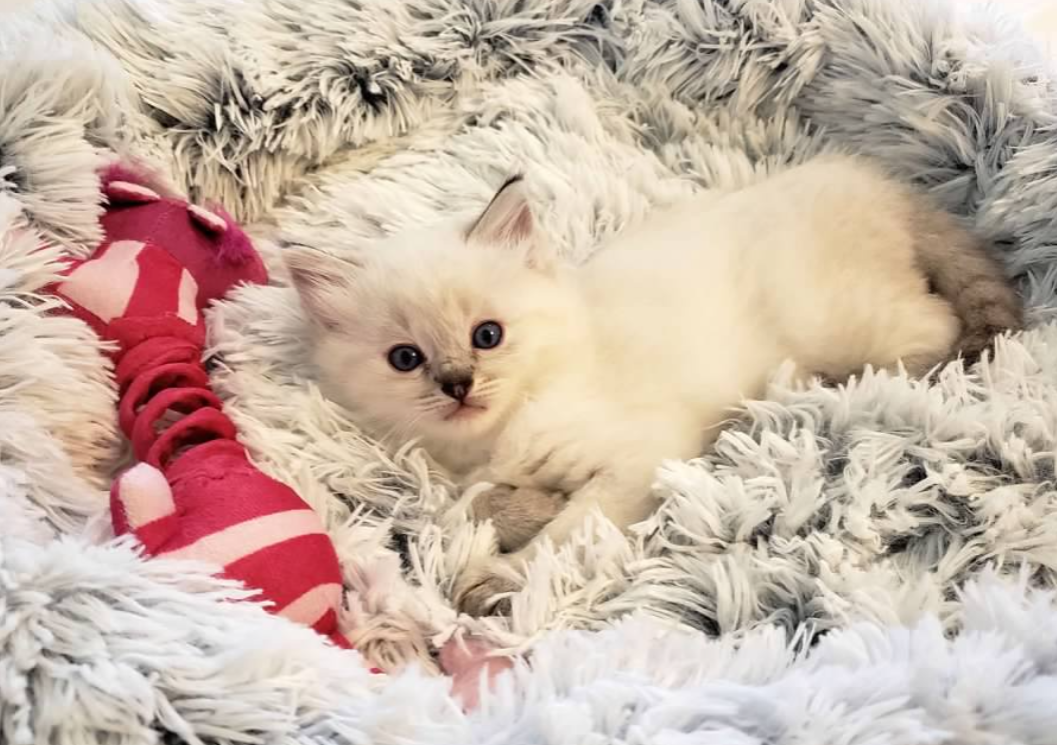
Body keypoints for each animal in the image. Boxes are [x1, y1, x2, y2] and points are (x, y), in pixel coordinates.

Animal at [287, 152, 1023, 617]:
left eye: (486, 336)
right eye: (406, 358)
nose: (458, 384)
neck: (494, 441)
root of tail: (870, 180)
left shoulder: (638, 456)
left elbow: (565, 535)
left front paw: (499, 577)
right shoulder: (457, 478)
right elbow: (471, 508)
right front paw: (513, 514)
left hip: (842, 324)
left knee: (932, 332)